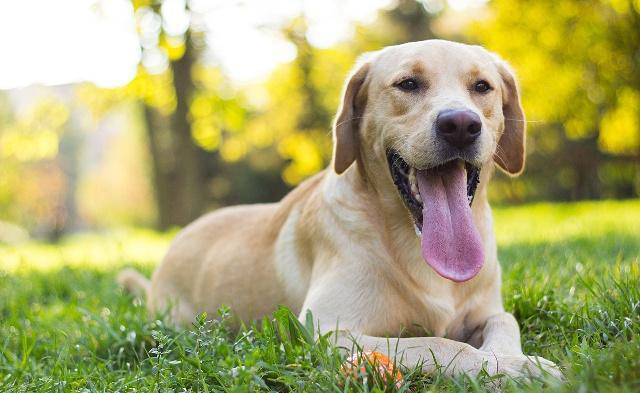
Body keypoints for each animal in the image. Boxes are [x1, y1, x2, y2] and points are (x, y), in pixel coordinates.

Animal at [119, 39, 560, 376]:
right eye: (408, 83)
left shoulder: (486, 311)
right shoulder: (328, 331)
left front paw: (510, 358)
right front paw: (512, 368)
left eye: (482, 87)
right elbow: (438, 342)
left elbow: (505, 320)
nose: (460, 125)